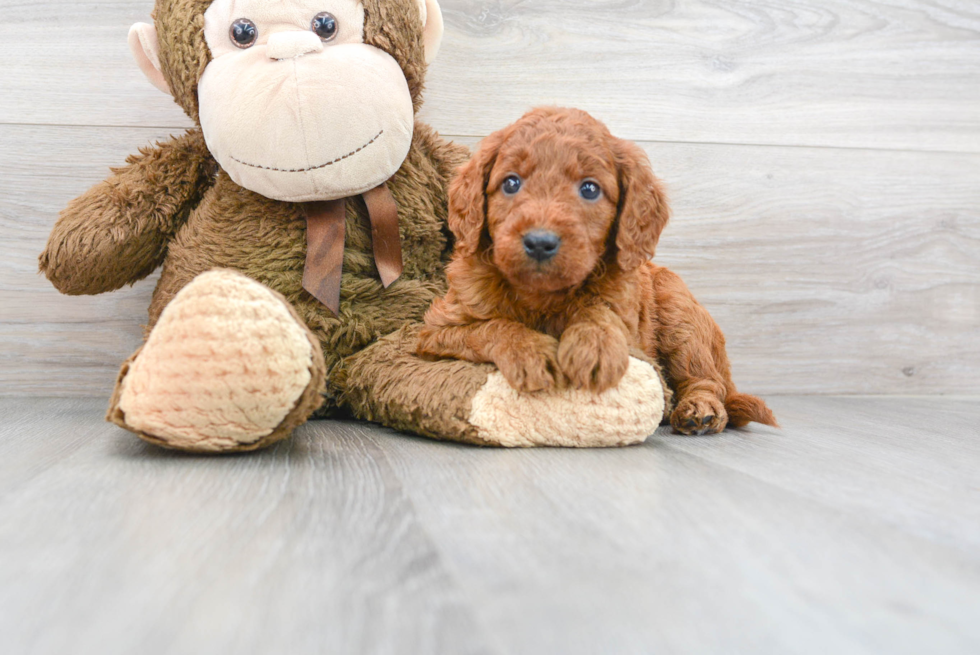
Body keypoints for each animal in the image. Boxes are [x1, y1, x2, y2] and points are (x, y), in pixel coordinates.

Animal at [418, 107, 776, 436]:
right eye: (511, 183)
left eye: (589, 189)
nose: (539, 242)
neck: (540, 296)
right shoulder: (435, 331)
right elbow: (488, 327)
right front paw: (530, 351)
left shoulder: (627, 314)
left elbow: (601, 310)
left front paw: (595, 346)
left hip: (680, 315)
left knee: (706, 379)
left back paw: (700, 409)